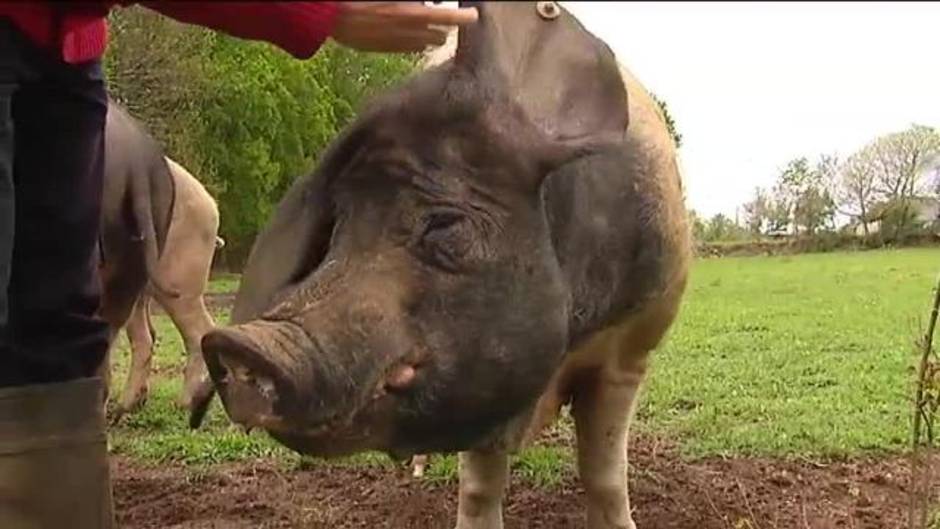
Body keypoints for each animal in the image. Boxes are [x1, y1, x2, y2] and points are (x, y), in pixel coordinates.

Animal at [196, 3, 691, 528]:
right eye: (336, 228)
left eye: (445, 225)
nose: (239, 343)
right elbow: (479, 484)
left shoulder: (631, 348)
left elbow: (603, 472)